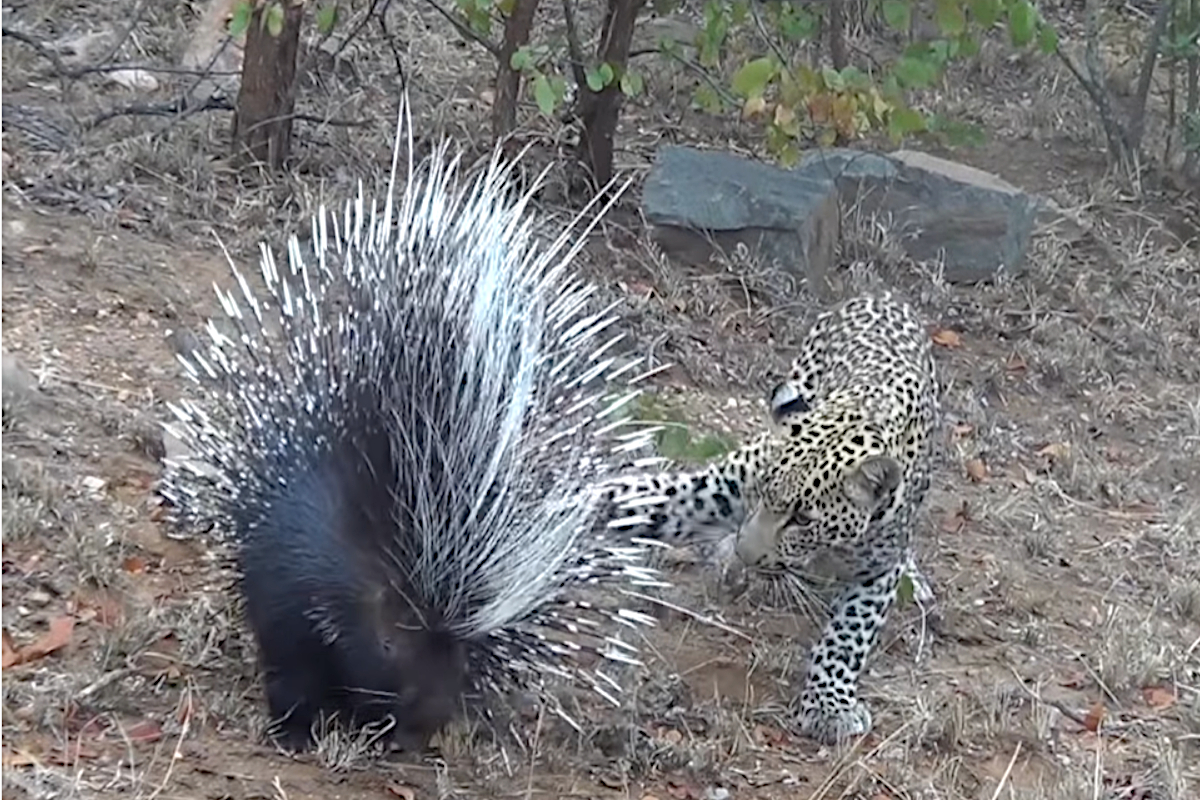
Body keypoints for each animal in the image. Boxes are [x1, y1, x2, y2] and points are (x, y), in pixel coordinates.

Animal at [604, 292, 940, 743]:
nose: (747, 555)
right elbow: (648, 496)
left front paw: (827, 706)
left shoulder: (878, 567)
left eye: (803, 519)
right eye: (763, 492)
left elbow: (849, 633)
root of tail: (880, 294)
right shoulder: (720, 488)